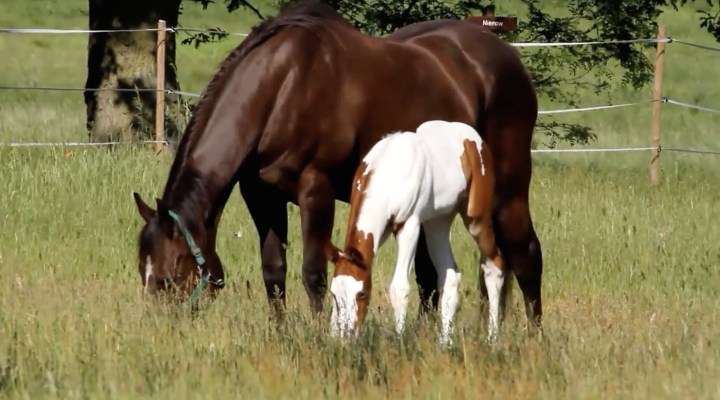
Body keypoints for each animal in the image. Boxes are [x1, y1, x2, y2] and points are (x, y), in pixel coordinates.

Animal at [326, 120, 506, 345]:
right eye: (334, 295)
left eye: (361, 294)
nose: (347, 338)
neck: (387, 171)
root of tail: (475, 139)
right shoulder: (382, 231)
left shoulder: (409, 227)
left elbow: (399, 288)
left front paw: (400, 342)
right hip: (437, 223)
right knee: (450, 275)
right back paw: (445, 343)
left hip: (476, 218)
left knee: (493, 266)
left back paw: (493, 339)